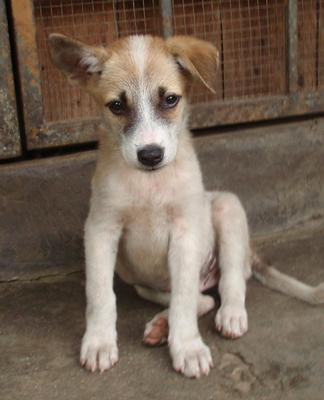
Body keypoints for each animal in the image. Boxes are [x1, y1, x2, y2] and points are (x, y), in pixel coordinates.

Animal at [48, 32, 324, 378]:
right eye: (117, 106)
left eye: (170, 99)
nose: (150, 155)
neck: (150, 184)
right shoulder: (100, 228)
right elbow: (100, 294)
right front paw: (99, 342)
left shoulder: (185, 233)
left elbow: (183, 299)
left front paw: (188, 348)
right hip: (136, 279)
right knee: (201, 299)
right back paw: (160, 326)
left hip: (227, 209)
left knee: (230, 281)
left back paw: (230, 315)